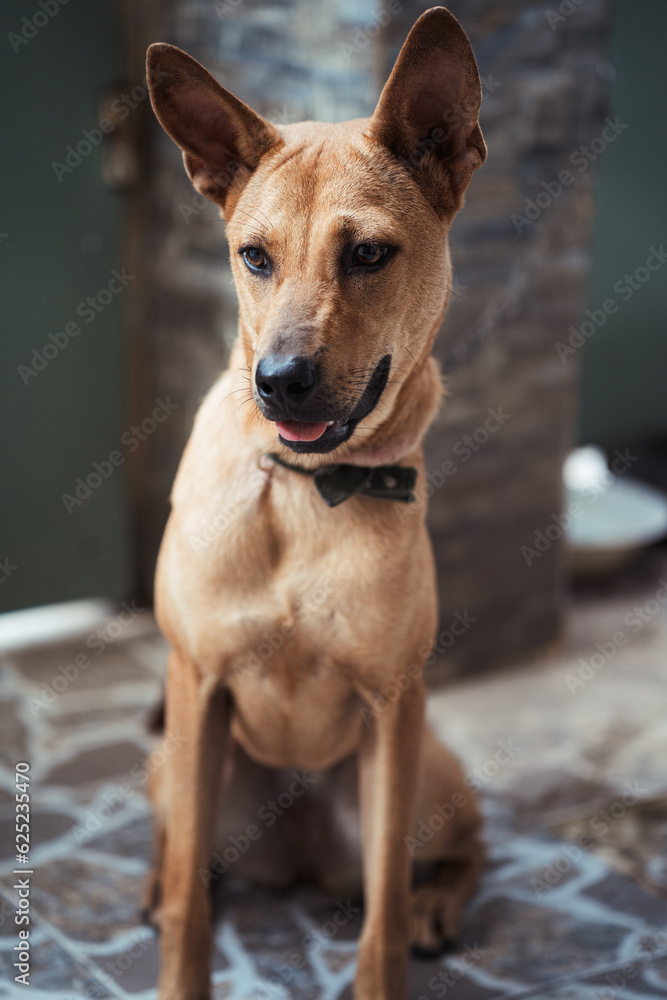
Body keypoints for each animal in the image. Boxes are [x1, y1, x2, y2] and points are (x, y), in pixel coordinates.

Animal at [145, 9, 486, 1000]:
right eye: (253, 256)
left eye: (368, 253)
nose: (280, 383)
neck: (304, 494)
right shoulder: (196, 683)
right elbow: (189, 909)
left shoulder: (393, 704)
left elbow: (381, 917)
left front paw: (397, 941)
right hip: (174, 761)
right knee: (177, 854)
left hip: (427, 768)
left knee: (463, 848)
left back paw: (441, 904)